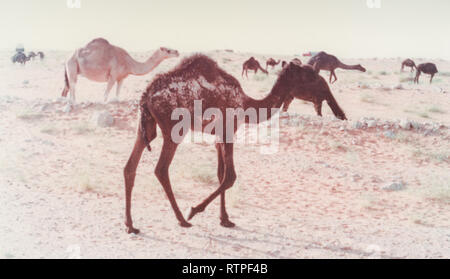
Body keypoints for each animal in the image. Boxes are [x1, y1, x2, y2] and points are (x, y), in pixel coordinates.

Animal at [125, 54, 318, 234]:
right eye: (307, 74)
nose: (319, 84)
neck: (246, 104)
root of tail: (147, 95)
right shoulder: (229, 131)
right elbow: (230, 176)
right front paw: (194, 210)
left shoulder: (218, 136)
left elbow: (220, 174)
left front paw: (225, 219)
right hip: (174, 129)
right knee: (161, 169)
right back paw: (182, 219)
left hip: (146, 125)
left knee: (130, 166)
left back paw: (130, 225)